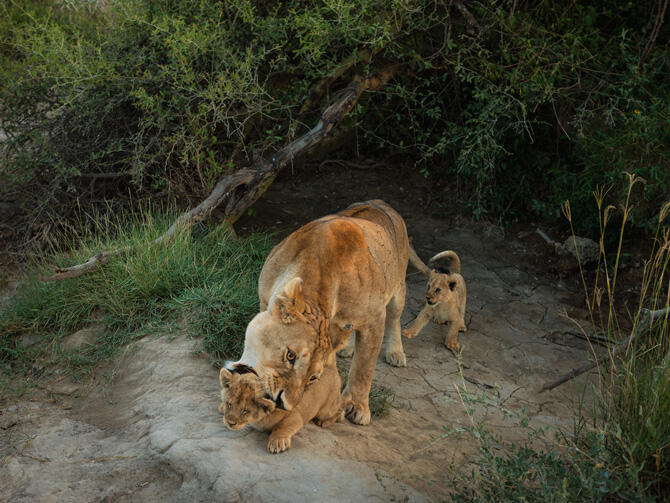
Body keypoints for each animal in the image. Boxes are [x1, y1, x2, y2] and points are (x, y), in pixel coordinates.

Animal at [228, 201, 412, 426]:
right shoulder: (264, 300)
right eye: (290, 356)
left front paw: (357, 407)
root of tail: (379, 202)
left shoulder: (374, 318)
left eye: (313, 378)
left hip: (398, 287)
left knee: (395, 318)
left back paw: (396, 353)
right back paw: (346, 348)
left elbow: (364, 366)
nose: (282, 403)